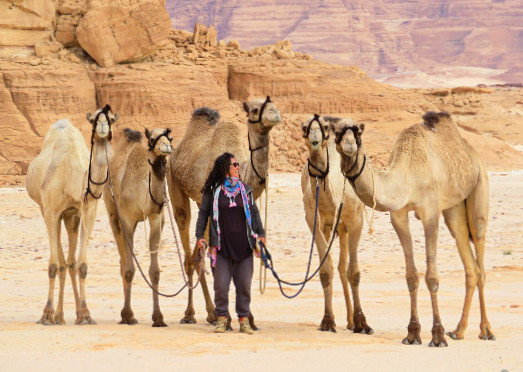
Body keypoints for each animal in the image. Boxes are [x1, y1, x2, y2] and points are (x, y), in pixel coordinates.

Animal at [26, 104, 117, 326]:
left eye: (112, 118)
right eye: (93, 119)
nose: (103, 126)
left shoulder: (87, 210)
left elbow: (81, 264)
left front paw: (85, 314)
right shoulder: (51, 211)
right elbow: (53, 264)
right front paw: (46, 315)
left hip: (70, 217)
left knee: (69, 262)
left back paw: (66, 315)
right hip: (47, 210)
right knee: (60, 261)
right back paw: (56, 316)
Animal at [103, 125, 173, 326]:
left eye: (169, 137)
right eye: (152, 139)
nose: (166, 147)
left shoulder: (156, 217)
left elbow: (155, 271)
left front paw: (158, 318)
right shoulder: (127, 218)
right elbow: (129, 268)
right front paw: (127, 314)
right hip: (112, 211)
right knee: (123, 260)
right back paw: (126, 314)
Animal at [167, 98, 282, 326]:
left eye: (271, 103)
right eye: (255, 109)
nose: (275, 114)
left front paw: (248, 319)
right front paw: (228, 318)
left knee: (198, 254)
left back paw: (210, 313)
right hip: (173, 182)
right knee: (188, 248)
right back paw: (192, 314)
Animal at [300, 114, 374, 334]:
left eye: (325, 127)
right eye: (304, 127)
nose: (315, 135)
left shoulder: (355, 221)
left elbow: (354, 272)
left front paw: (362, 323)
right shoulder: (313, 220)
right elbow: (325, 270)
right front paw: (327, 321)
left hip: (343, 228)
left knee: (344, 267)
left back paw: (351, 321)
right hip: (331, 227)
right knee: (338, 266)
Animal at [336, 110, 496, 346]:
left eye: (357, 133)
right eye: (335, 132)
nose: (348, 144)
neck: (407, 174)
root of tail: (472, 153)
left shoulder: (430, 212)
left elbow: (432, 276)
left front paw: (437, 336)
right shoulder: (399, 215)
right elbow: (411, 276)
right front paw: (412, 334)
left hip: (479, 186)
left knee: (479, 242)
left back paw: (486, 331)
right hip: (454, 209)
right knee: (469, 262)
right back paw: (458, 331)